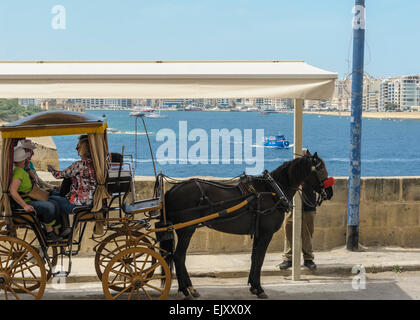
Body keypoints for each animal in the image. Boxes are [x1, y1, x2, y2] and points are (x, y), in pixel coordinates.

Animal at [160, 151, 334, 298]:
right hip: (186, 229)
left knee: (180, 257)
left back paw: (190, 288)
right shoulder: (266, 233)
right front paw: (259, 288)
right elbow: (260, 258)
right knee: (179, 257)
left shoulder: (259, 232)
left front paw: (253, 286)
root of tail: (172, 190)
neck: (272, 190)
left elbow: (254, 257)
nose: (330, 193)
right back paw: (185, 290)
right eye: (321, 169)